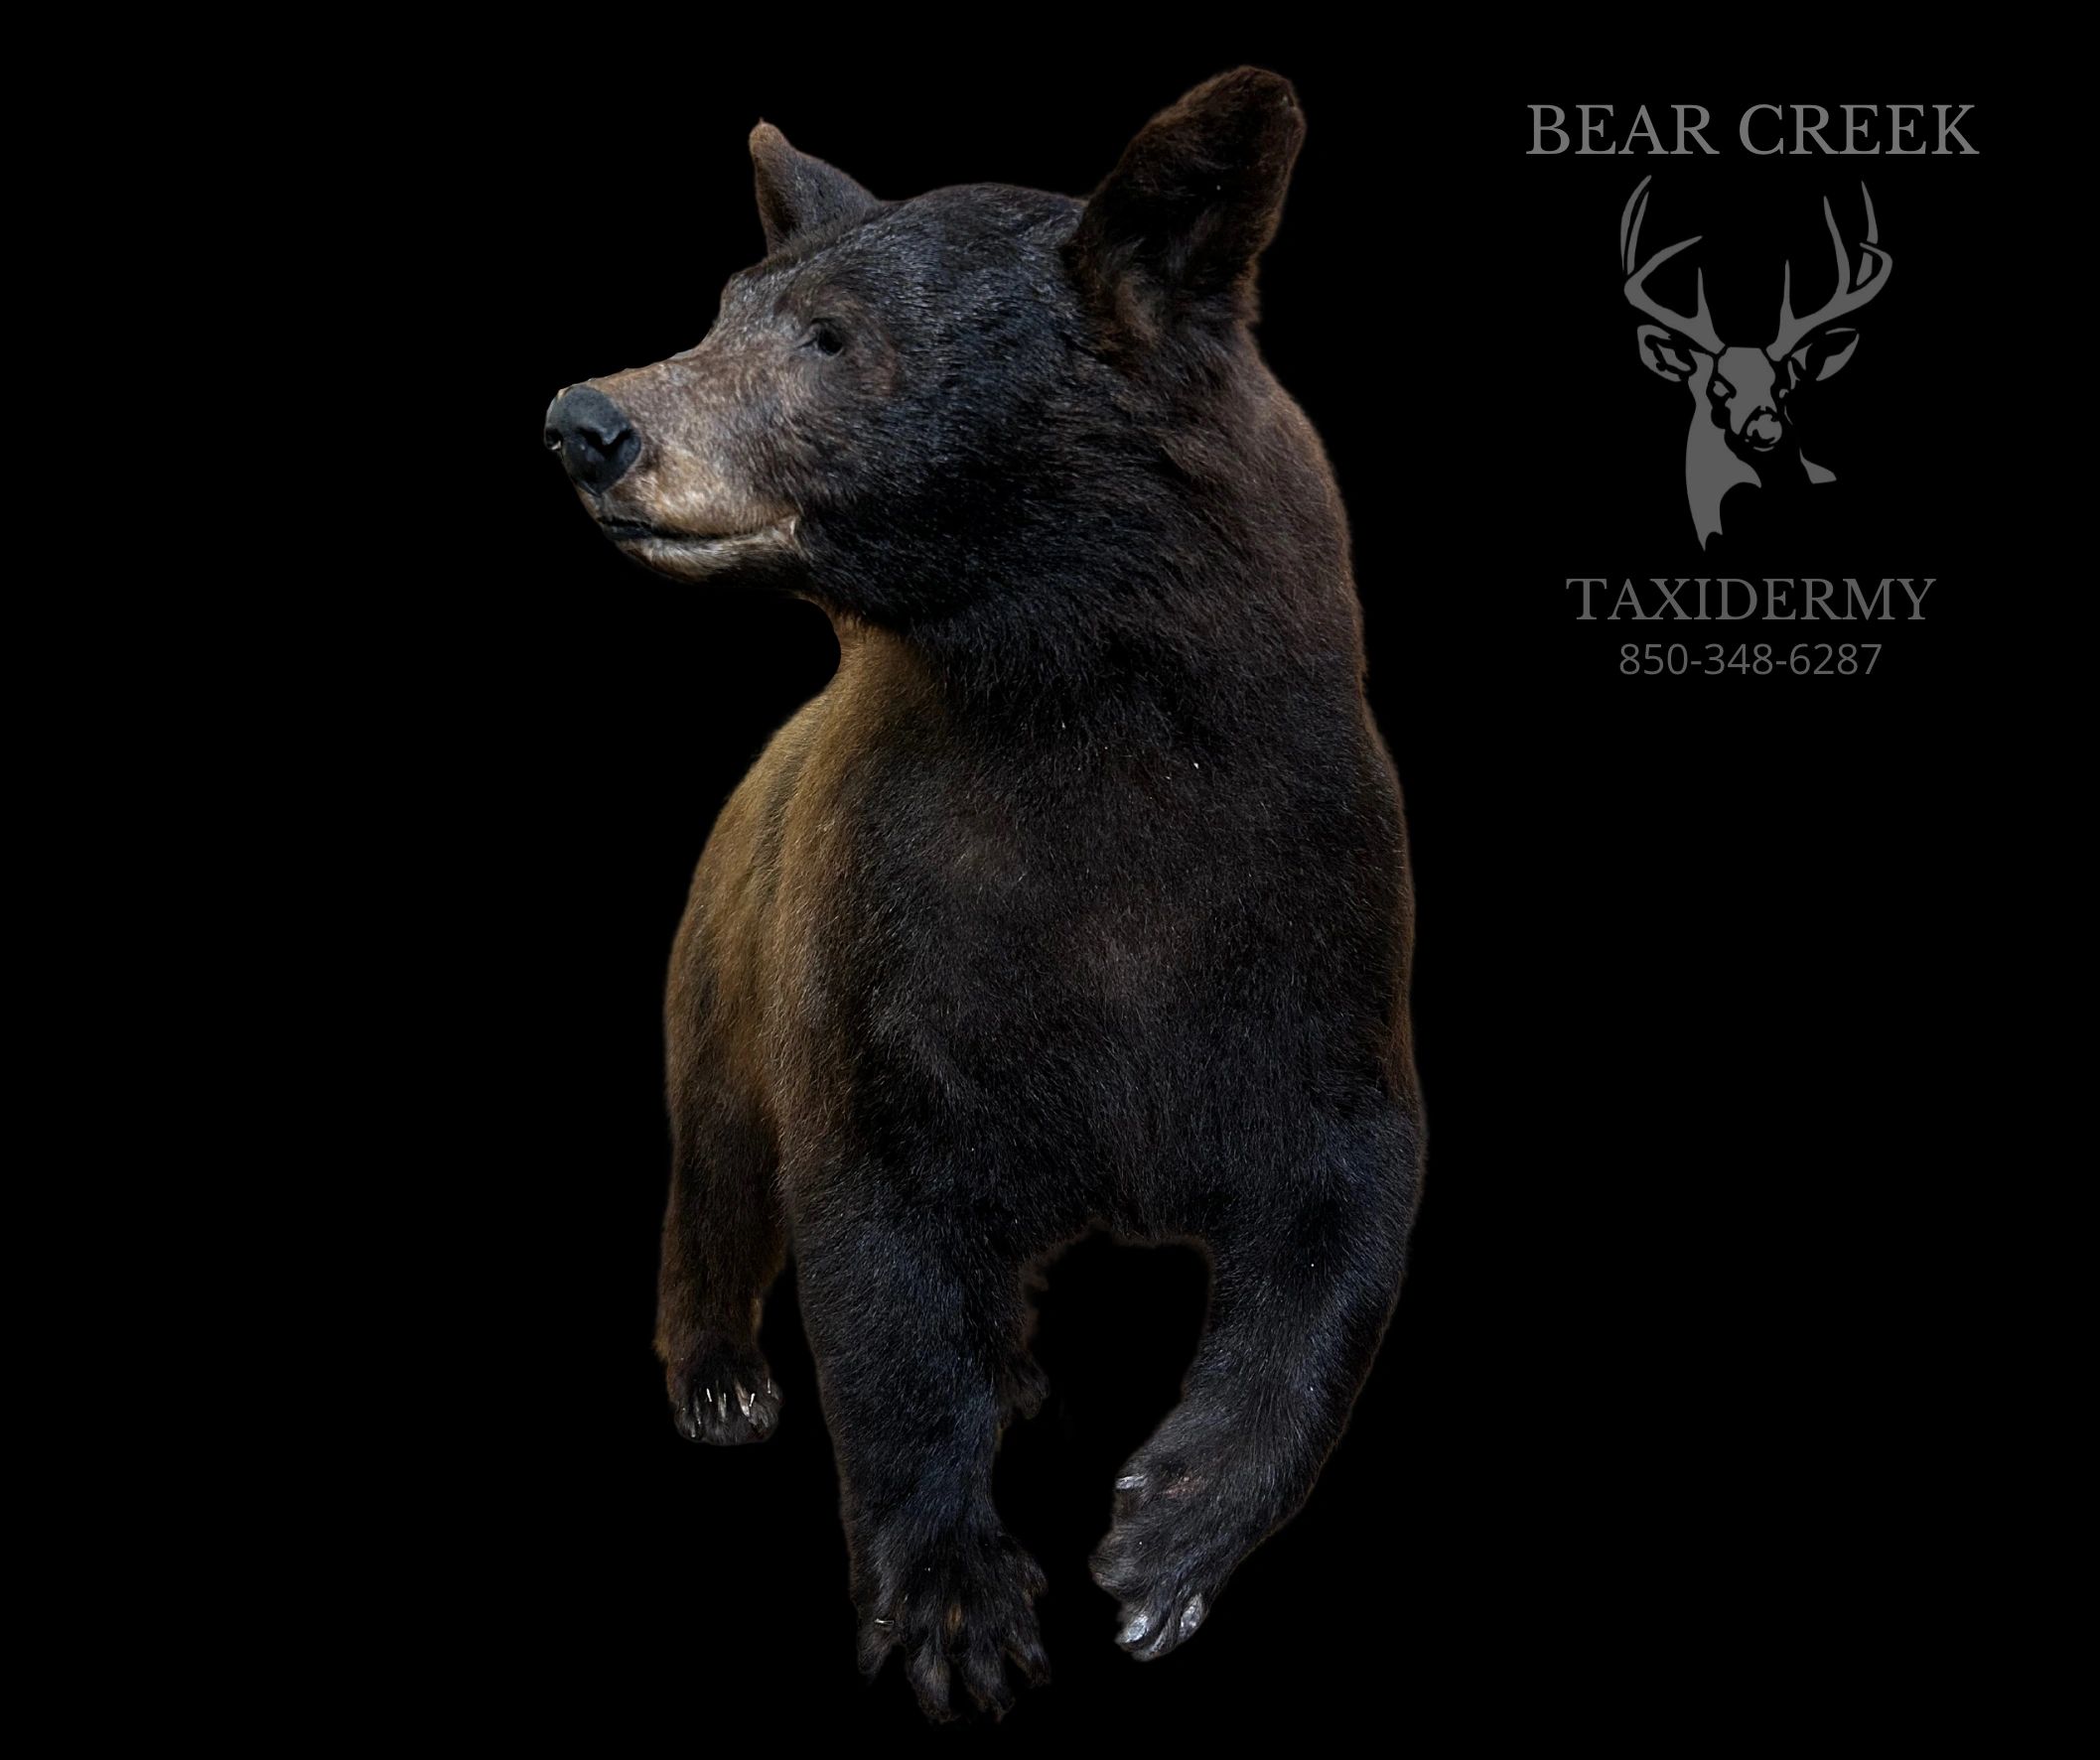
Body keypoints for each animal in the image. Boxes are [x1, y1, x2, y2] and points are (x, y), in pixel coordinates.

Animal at [543, 67, 1422, 1721]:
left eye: (833, 337)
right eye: (725, 303)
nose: (587, 420)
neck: (1077, 733)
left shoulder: (1322, 916)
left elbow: (1342, 1207)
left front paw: (1162, 1540)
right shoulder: (879, 932)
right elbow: (877, 1250)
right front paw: (953, 1609)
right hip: (717, 954)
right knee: (715, 1155)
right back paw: (721, 1374)